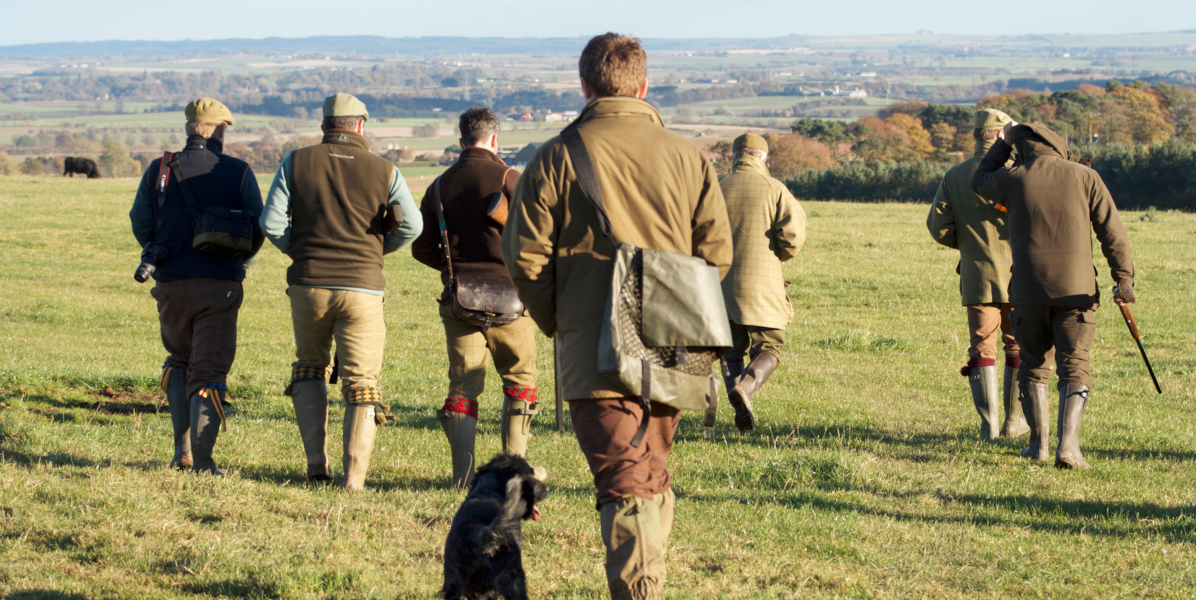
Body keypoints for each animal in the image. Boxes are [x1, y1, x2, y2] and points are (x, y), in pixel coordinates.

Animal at [442, 451, 547, 597]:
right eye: (530, 475)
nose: (546, 489)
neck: (488, 490)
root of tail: (480, 534)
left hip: (454, 583)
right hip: (513, 579)